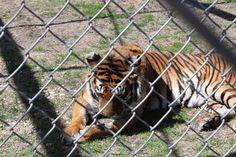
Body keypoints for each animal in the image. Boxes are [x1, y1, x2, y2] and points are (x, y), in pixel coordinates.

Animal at [61, 43, 236, 144]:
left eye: (120, 95)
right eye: (100, 94)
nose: (104, 115)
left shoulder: (133, 113)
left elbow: (109, 128)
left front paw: (84, 134)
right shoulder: (83, 99)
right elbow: (77, 117)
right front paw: (69, 132)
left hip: (220, 87)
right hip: (206, 99)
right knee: (227, 109)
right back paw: (209, 122)